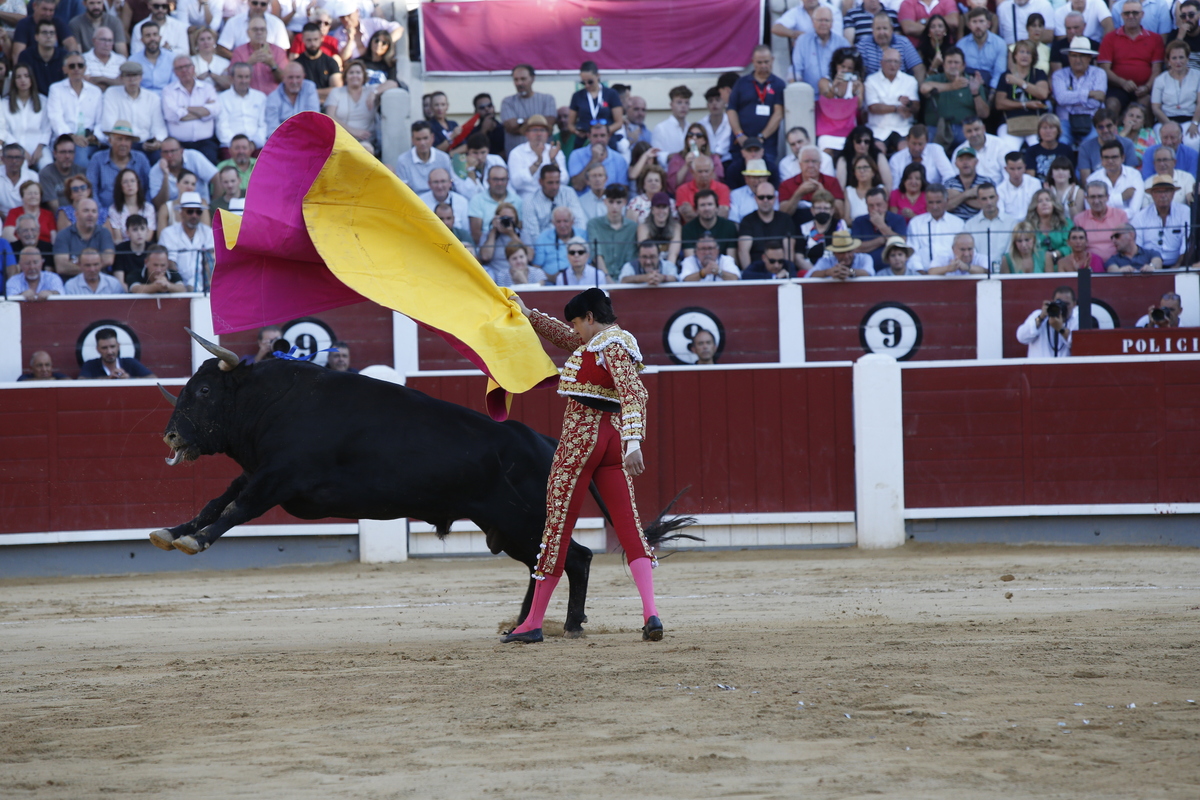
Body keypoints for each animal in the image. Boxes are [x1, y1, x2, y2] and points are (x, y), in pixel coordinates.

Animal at [153, 328, 696, 633]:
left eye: (204, 390)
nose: (171, 434)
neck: (271, 403)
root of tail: (544, 442)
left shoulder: (278, 478)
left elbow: (236, 509)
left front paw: (196, 541)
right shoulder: (258, 473)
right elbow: (217, 502)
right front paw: (171, 533)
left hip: (524, 520)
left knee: (573, 559)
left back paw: (564, 624)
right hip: (507, 527)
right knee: (547, 564)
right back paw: (523, 623)